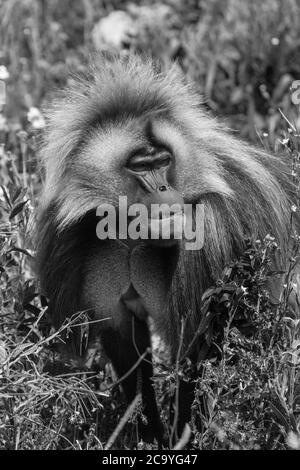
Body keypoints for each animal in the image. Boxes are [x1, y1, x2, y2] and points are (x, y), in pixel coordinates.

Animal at [36, 53, 298, 446]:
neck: (132, 237)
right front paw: (147, 436)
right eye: (140, 166)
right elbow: (126, 343)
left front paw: (185, 437)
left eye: (163, 161)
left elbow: (202, 348)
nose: (163, 190)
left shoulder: (214, 227)